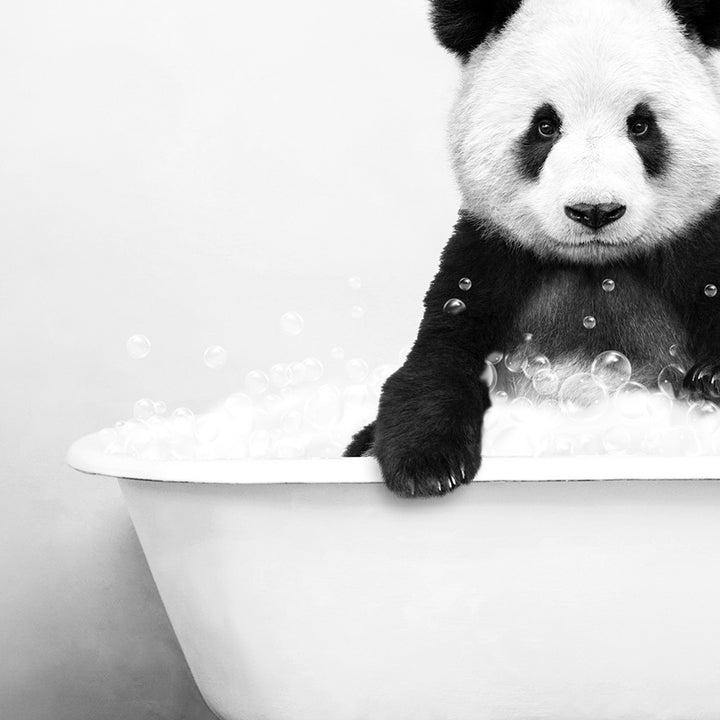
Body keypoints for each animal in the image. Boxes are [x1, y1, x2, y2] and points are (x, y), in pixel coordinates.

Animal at [346, 0, 720, 496]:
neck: (596, 267)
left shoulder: (697, 246)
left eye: (641, 125)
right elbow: (439, 357)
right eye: (545, 126)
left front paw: (710, 379)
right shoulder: (489, 257)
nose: (595, 211)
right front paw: (427, 466)